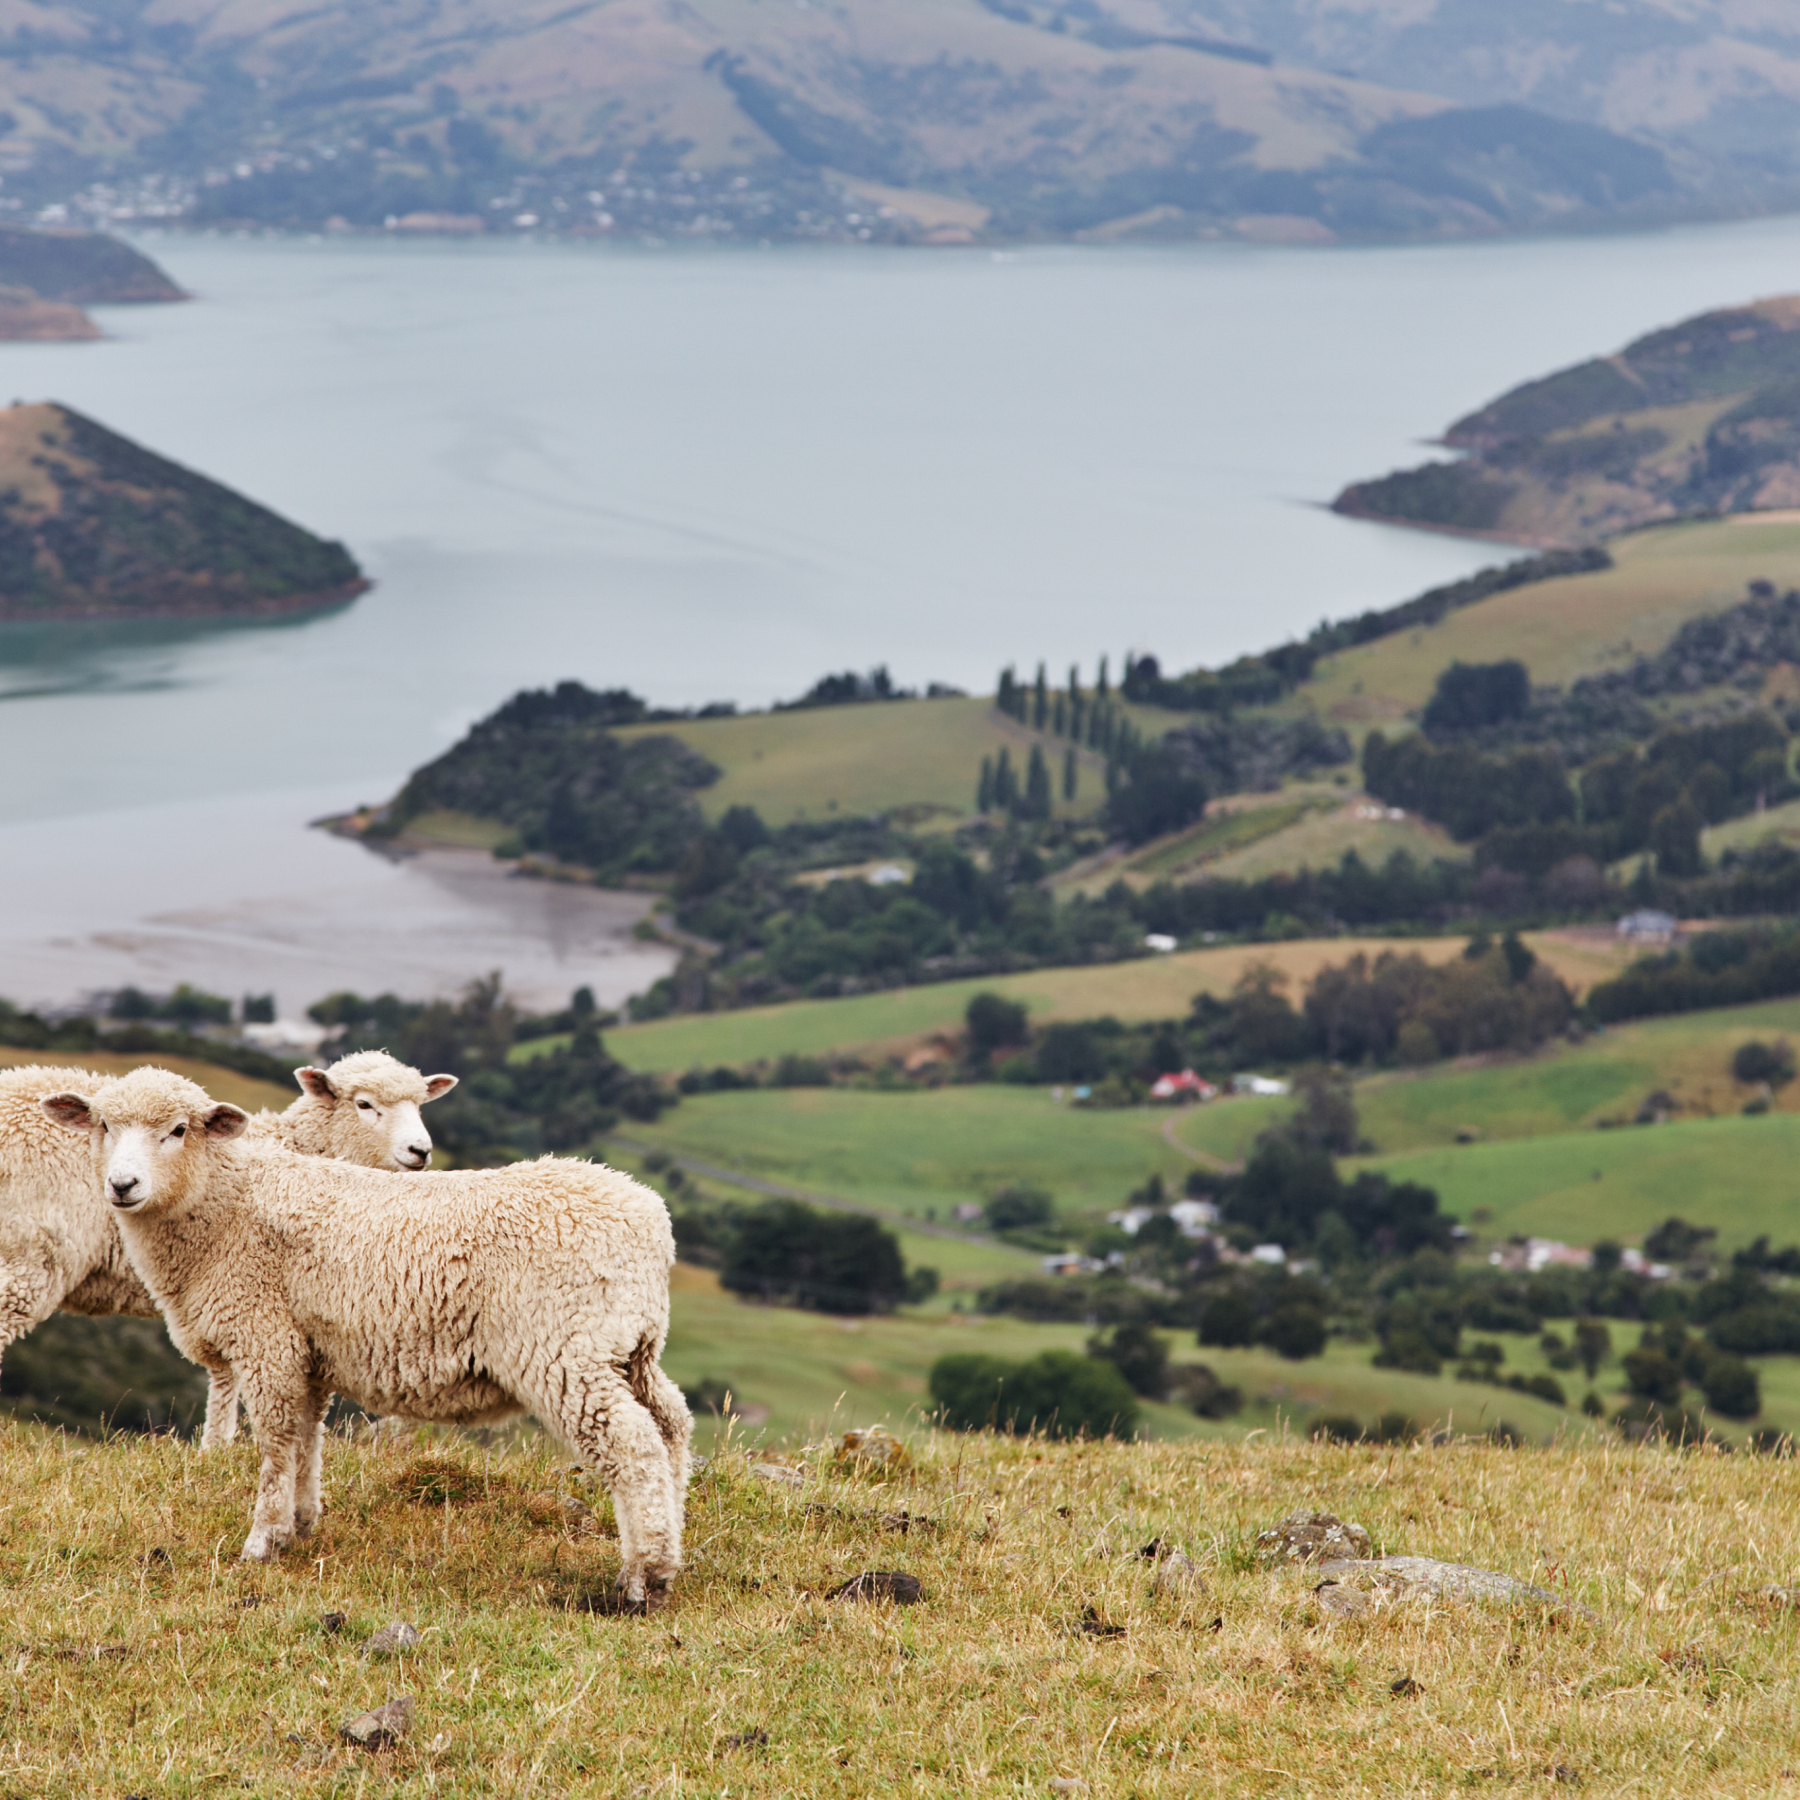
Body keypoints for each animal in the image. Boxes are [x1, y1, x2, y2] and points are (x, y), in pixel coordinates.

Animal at [0, 1051, 457, 1447]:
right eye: (364, 1104)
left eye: (421, 1103)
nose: (420, 1151)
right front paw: (223, 1447)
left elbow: (223, 1374)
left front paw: (216, 1446)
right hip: (27, 1254)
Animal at [47, 1058, 694, 1612]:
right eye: (104, 1125)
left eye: (179, 1130)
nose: (122, 1185)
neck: (223, 1201)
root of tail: (651, 1220)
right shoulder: (308, 1349)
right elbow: (307, 1435)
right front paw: (300, 1524)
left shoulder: (266, 1337)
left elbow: (276, 1441)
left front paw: (261, 1539)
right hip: (630, 1345)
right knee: (671, 1425)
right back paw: (669, 1550)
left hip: (566, 1349)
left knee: (633, 1446)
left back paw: (644, 1579)